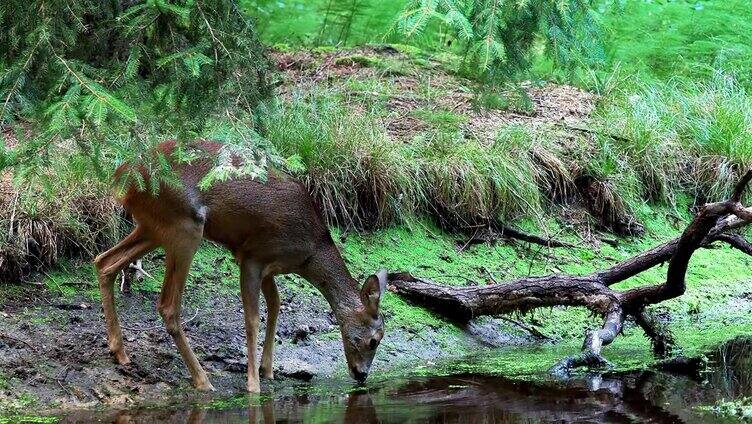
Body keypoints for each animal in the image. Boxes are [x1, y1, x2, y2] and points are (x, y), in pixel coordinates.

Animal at [94, 141, 388, 392]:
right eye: (374, 340)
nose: (362, 375)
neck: (310, 250)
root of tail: (121, 176)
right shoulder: (251, 256)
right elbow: (252, 317)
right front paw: (253, 384)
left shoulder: (269, 266)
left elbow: (276, 305)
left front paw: (267, 369)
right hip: (185, 224)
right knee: (167, 305)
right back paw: (202, 380)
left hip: (152, 226)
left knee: (104, 262)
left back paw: (119, 352)